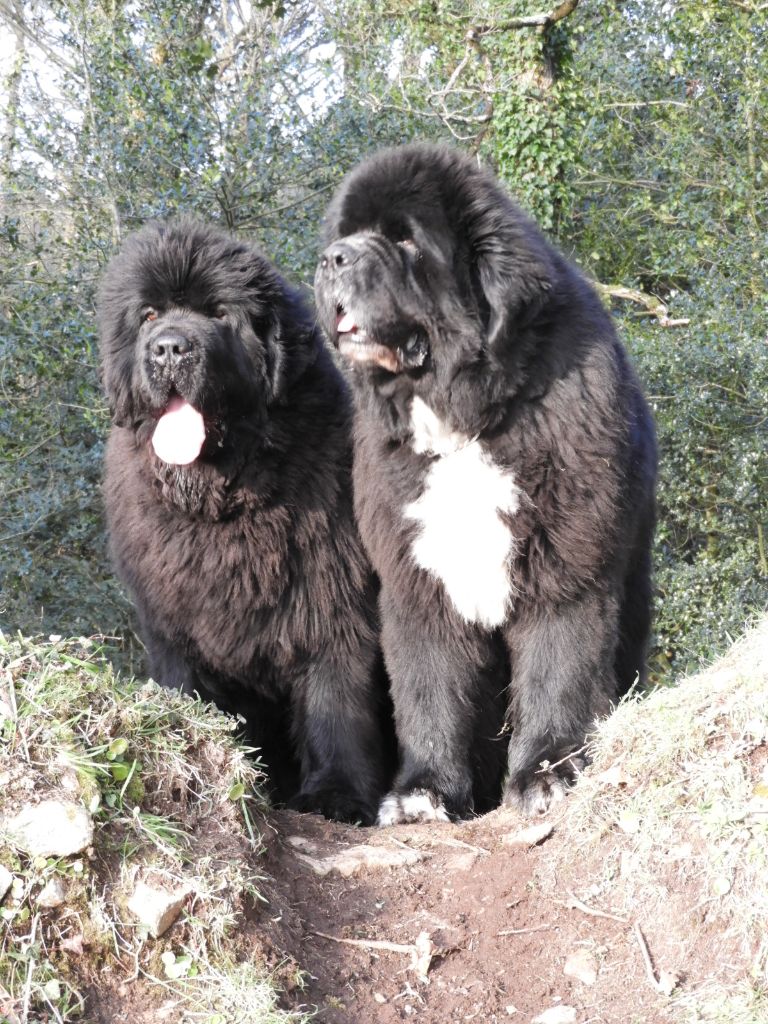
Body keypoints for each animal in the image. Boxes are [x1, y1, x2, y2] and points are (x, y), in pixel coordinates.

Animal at [99, 218, 391, 823]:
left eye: (218, 313)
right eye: (148, 315)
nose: (169, 349)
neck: (224, 505)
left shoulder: (331, 600)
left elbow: (335, 700)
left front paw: (336, 795)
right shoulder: (173, 627)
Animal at [315, 142, 659, 823]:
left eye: (405, 239)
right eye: (346, 234)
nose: (333, 258)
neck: (467, 421)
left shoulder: (566, 562)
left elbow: (559, 667)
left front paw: (546, 773)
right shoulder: (417, 575)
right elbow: (429, 685)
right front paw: (422, 791)